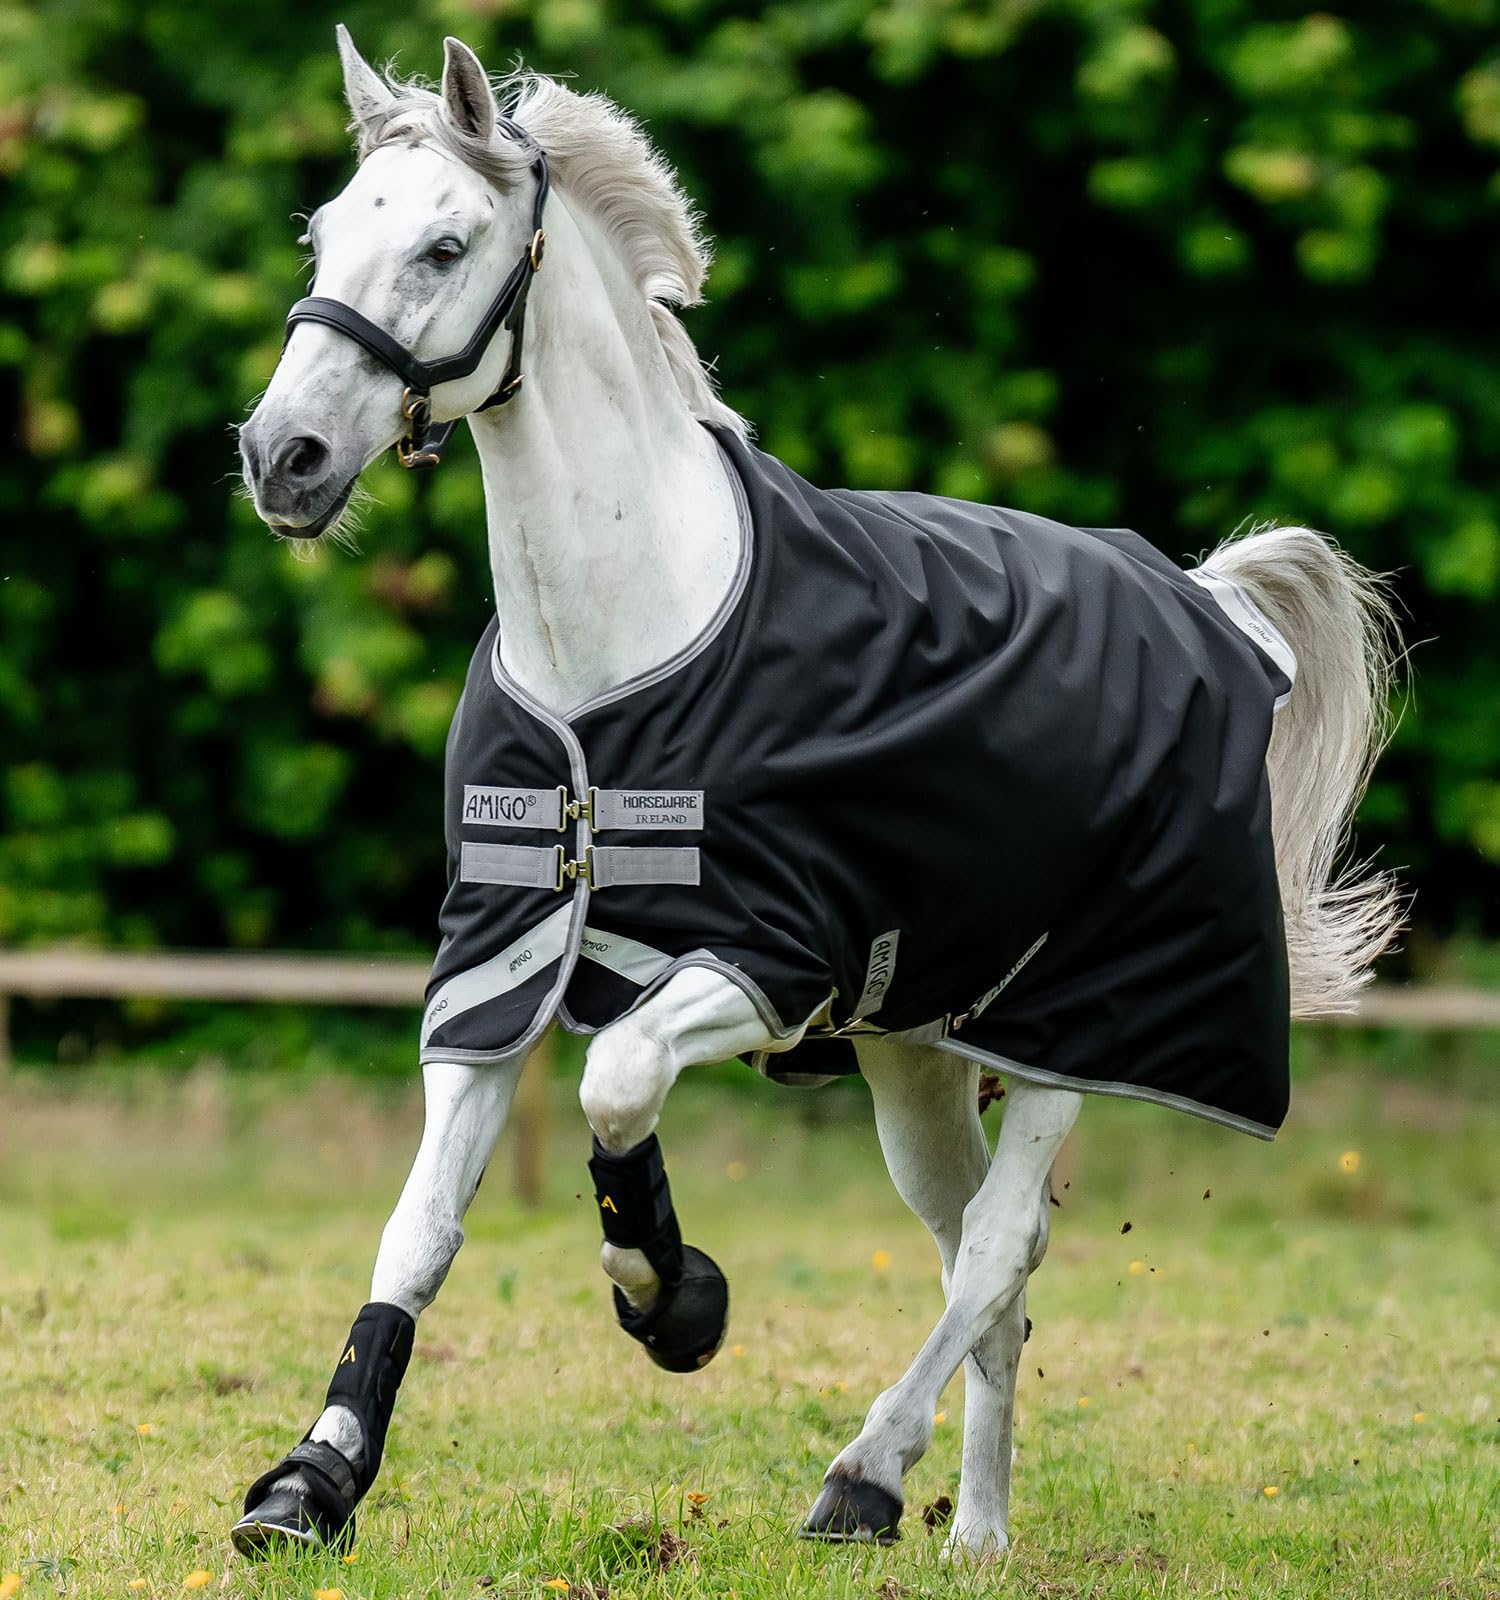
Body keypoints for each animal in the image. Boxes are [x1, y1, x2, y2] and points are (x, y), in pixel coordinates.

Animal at [232, 27, 1400, 1562]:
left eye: (444, 244)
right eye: (324, 234)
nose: (283, 458)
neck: (620, 647)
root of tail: (1204, 603)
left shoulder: (765, 959)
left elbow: (615, 1081)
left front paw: (673, 1301)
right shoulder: (495, 964)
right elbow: (417, 1230)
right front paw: (311, 1483)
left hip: (1075, 1031)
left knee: (1000, 1245)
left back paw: (868, 1476)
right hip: (918, 1054)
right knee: (981, 1261)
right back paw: (974, 1536)